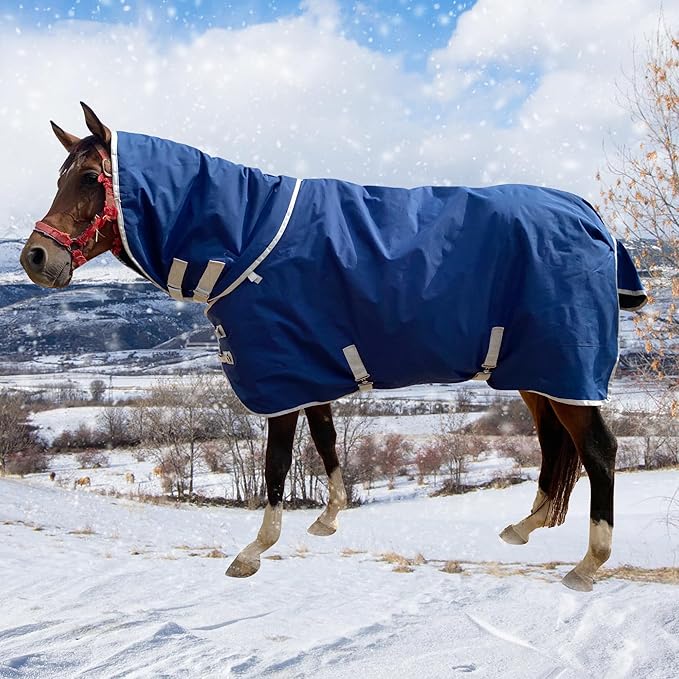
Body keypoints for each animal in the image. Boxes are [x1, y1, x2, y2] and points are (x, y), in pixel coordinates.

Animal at [20, 103, 647, 591]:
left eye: (89, 178)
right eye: (60, 176)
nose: (34, 258)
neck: (247, 240)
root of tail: (589, 214)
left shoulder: (279, 376)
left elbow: (275, 465)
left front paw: (254, 550)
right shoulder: (309, 371)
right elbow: (325, 442)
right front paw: (328, 517)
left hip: (563, 366)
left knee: (599, 451)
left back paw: (588, 565)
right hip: (536, 371)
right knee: (555, 444)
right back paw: (526, 526)